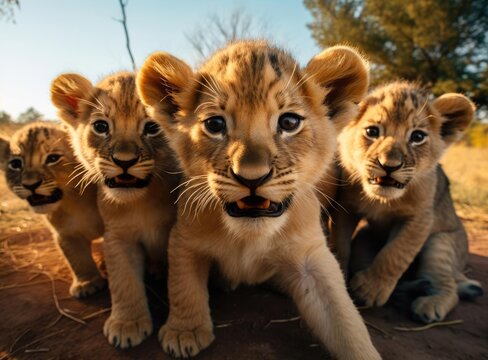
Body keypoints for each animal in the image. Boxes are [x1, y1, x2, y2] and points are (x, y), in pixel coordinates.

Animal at [0, 122, 106, 296]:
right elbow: (77, 259)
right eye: (15, 164)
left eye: (53, 158)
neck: (75, 201)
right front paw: (87, 282)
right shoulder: (66, 233)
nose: (30, 185)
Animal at [50, 73, 180, 348]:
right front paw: (127, 325)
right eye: (101, 127)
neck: (142, 202)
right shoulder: (118, 236)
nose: (124, 161)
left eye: (152, 127)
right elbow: (124, 280)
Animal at [137, 40, 382, 358]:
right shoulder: (184, 238)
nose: (251, 177)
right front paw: (184, 332)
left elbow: (345, 322)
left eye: (289, 122)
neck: (248, 236)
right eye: (214, 124)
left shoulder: (311, 257)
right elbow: (183, 285)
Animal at [330, 82, 482, 324]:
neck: (382, 200)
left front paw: (372, 290)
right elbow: (341, 245)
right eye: (372, 132)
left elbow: (396, 253)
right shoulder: (346, 208)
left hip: (442, 244)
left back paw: (430, 305)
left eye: (417, 136)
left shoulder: (420, 218)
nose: (389, 165)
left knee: (451, 289)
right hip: (365, 236)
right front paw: (342, 279)